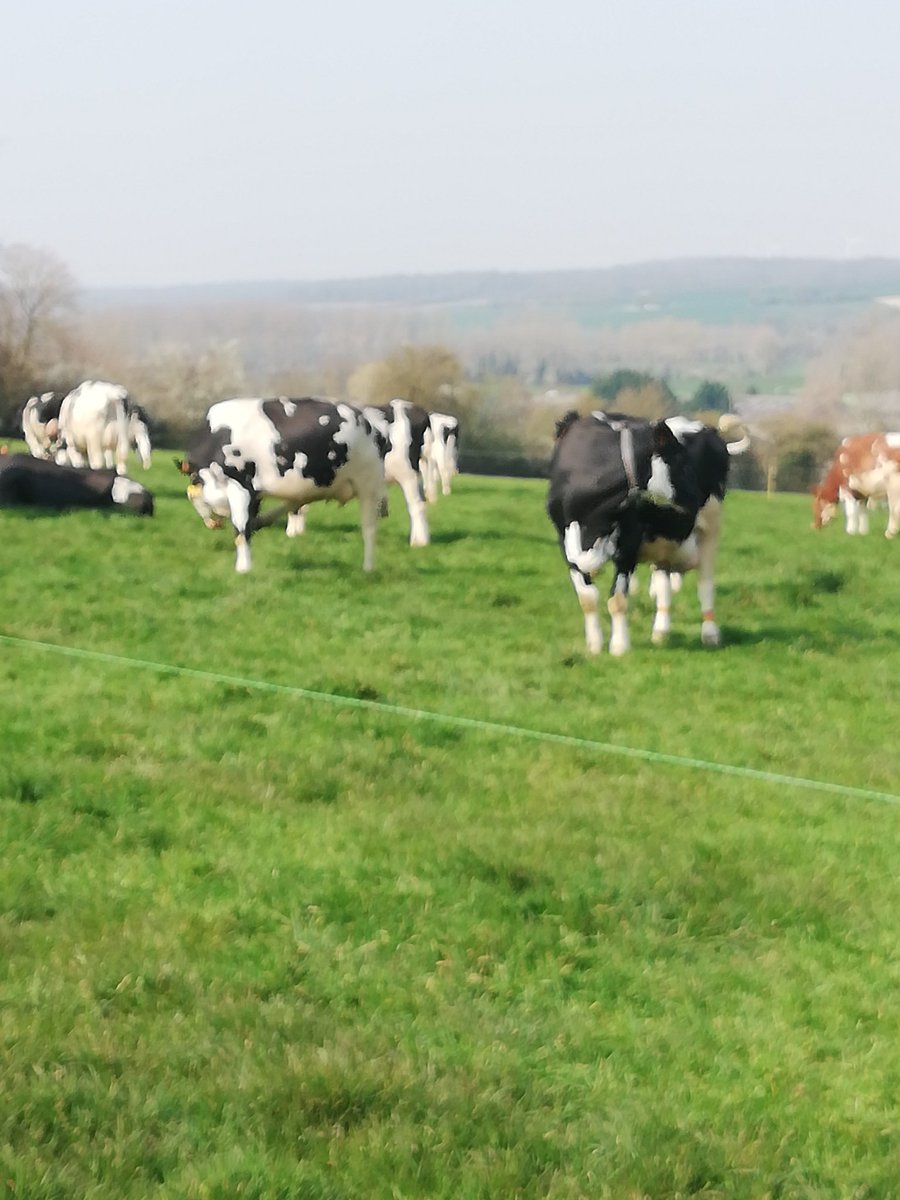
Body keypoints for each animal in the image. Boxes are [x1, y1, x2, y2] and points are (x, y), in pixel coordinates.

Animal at [178, 396, 386, 574]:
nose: (214, 523)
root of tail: (366, 417)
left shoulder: (240, 486)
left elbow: (241, 530)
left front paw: (243, 569)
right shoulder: (253, 495)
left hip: (369, 486)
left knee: (369, 529)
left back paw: (368, 569)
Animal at [547, 411, 750, 656]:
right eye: (684, 464)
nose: (697, 501)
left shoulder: (628, 544)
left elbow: (618, 600)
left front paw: (619, 646)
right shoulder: (567, 544)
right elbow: (587, 599)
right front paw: (594, 645)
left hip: (711, 528)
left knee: (706, 584)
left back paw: (710, 634)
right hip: (665, 545)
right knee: (663, 586)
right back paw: (660, 632)